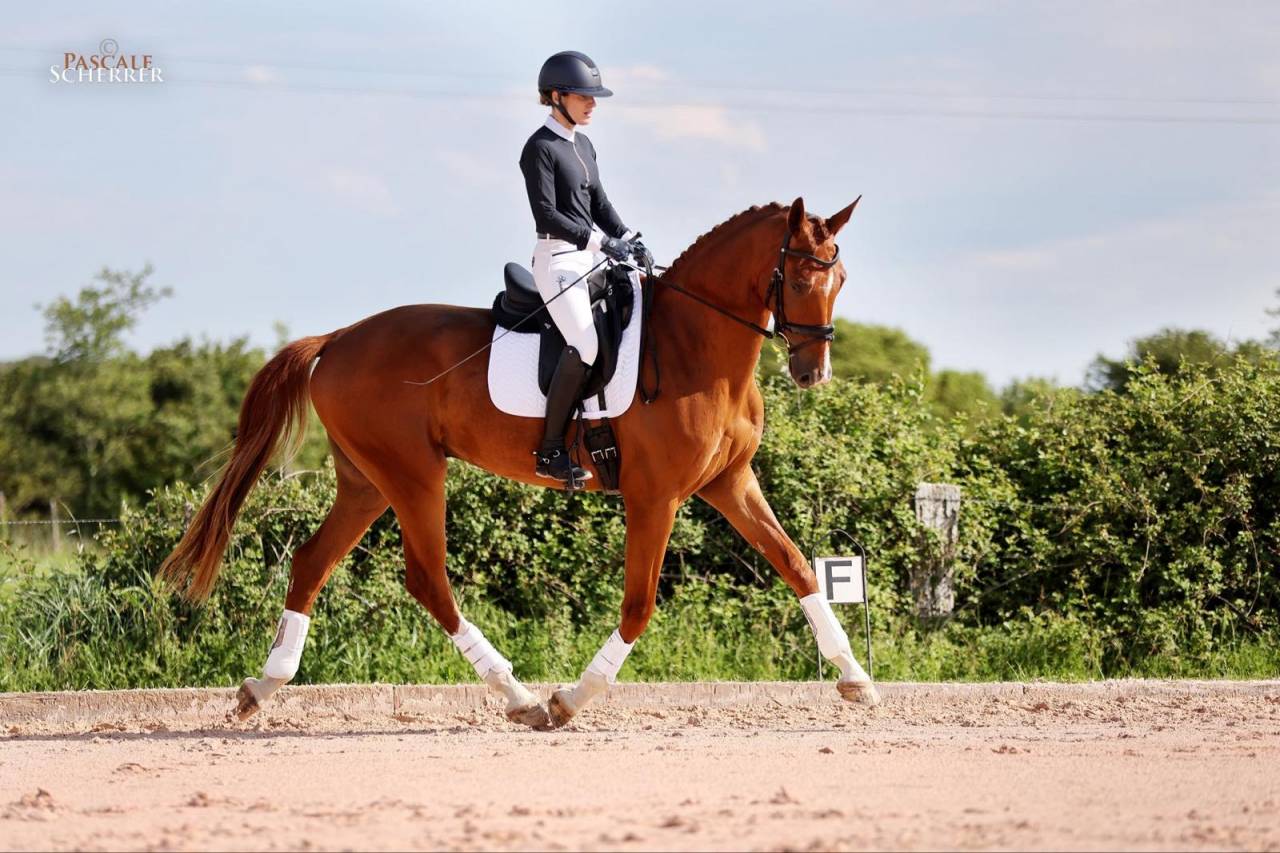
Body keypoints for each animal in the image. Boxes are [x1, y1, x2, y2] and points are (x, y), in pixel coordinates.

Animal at [158, 196, 879, 729]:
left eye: (840, 279)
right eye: (799, 277)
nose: (813, 373)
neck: (693, 345)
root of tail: (336, 339)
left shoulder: (730, 482)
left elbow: (796, 565)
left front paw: (857, 678)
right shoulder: (656, 496)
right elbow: (640, 603)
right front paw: (570, 698)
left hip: (367, 481)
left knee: (312, 560)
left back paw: (262, 686)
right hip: (414, 474)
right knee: (430, 581)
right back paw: (522, 697)